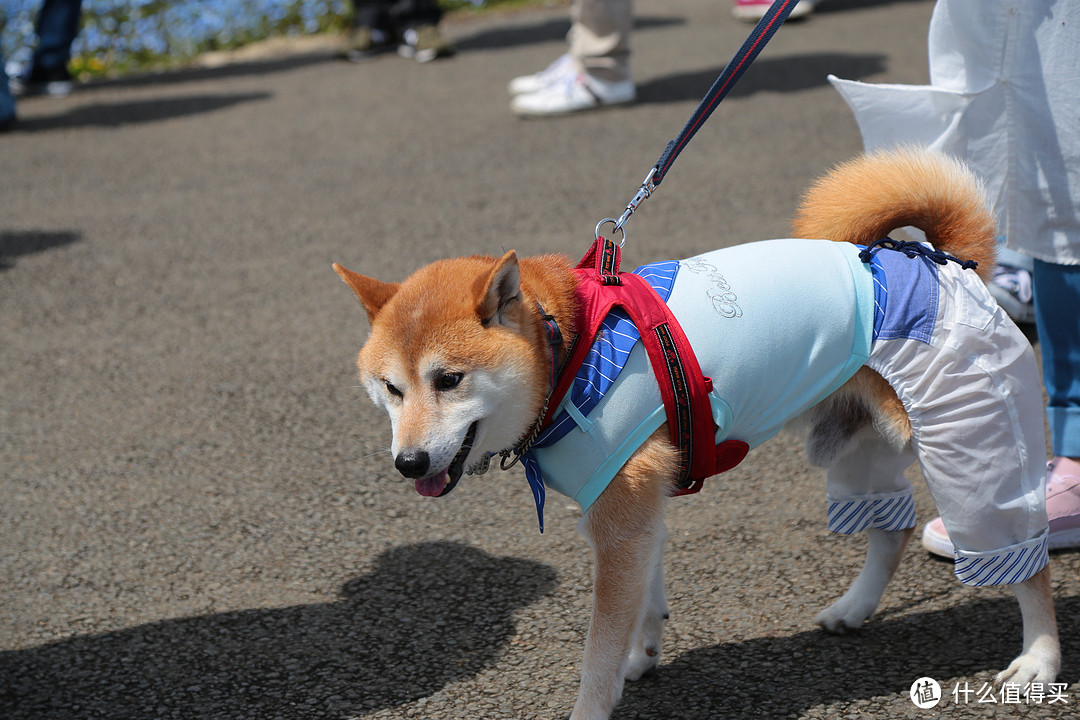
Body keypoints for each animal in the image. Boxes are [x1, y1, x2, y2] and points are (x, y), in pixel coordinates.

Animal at [332, 148, 1058, 716]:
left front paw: (598, 696)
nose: (407, 462)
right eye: (391, 388)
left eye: (449, 379)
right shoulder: (636, 507)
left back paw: (1040, 659)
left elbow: (596, 654)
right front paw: (646, 653)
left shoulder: (619, 515)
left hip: (965, 438)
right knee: (892, 525)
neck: (571, 353)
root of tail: (945, 260)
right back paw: (855, 608)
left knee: (1024, 554)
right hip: (854, 439)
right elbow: (645, 598)